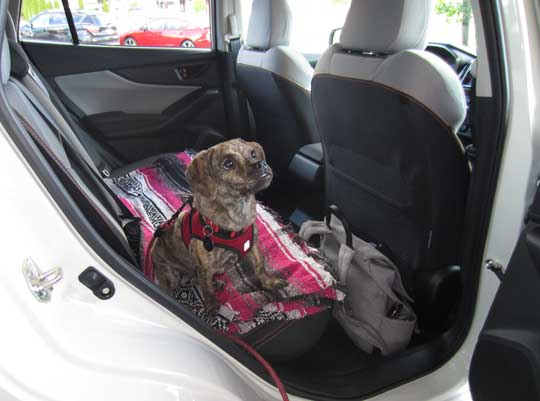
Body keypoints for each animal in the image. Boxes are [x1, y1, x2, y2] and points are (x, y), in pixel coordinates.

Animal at [150, 139, 286, 310]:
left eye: (253, 154)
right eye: (228, 163)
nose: (261, 163)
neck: (238, 213)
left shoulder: (253, 246)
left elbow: (260, 265)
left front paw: (270, 283)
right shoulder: (204, 267)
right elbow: (206, 289)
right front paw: (212, 306)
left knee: (195, 279)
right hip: (172, 276)